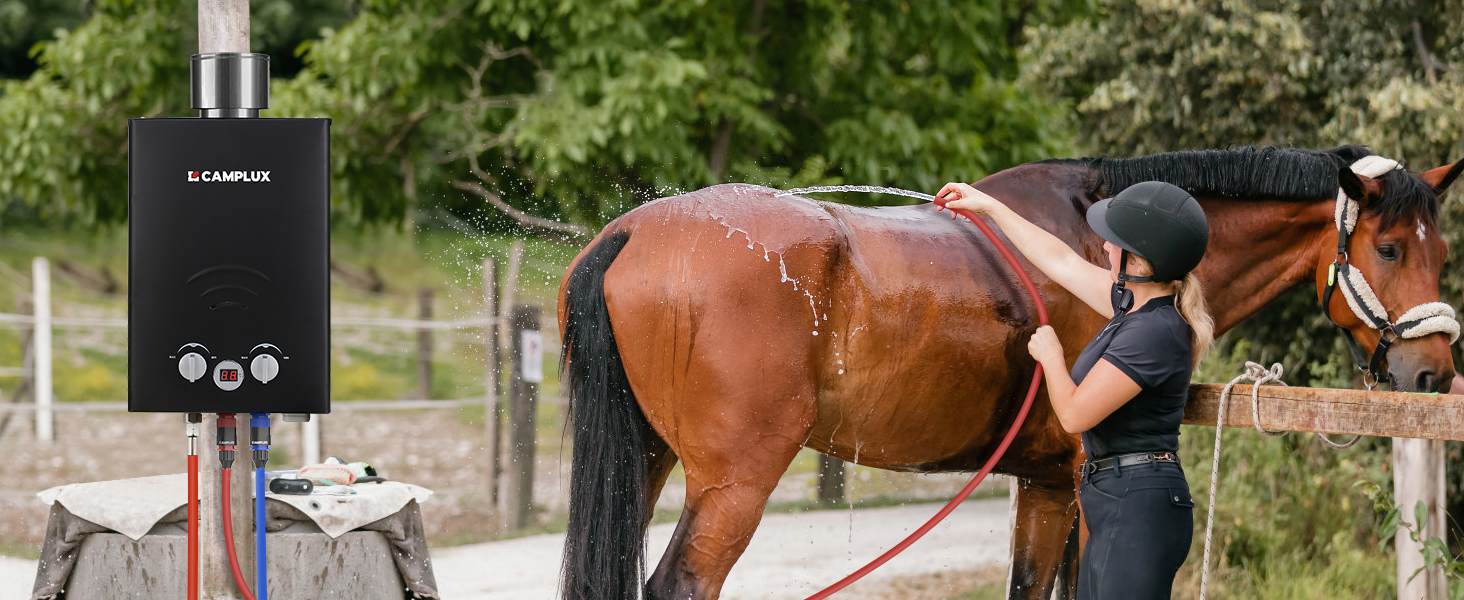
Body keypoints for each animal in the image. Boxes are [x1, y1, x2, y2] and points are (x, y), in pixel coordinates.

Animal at [556, 146, 1464, 600]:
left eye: (1440, 250)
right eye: (1389, 248)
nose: (1433, 376)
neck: (1105, 248)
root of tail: (631, 234)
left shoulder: (1046, 483)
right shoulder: (1079, 487)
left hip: (644, 462)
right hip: (734, 485)